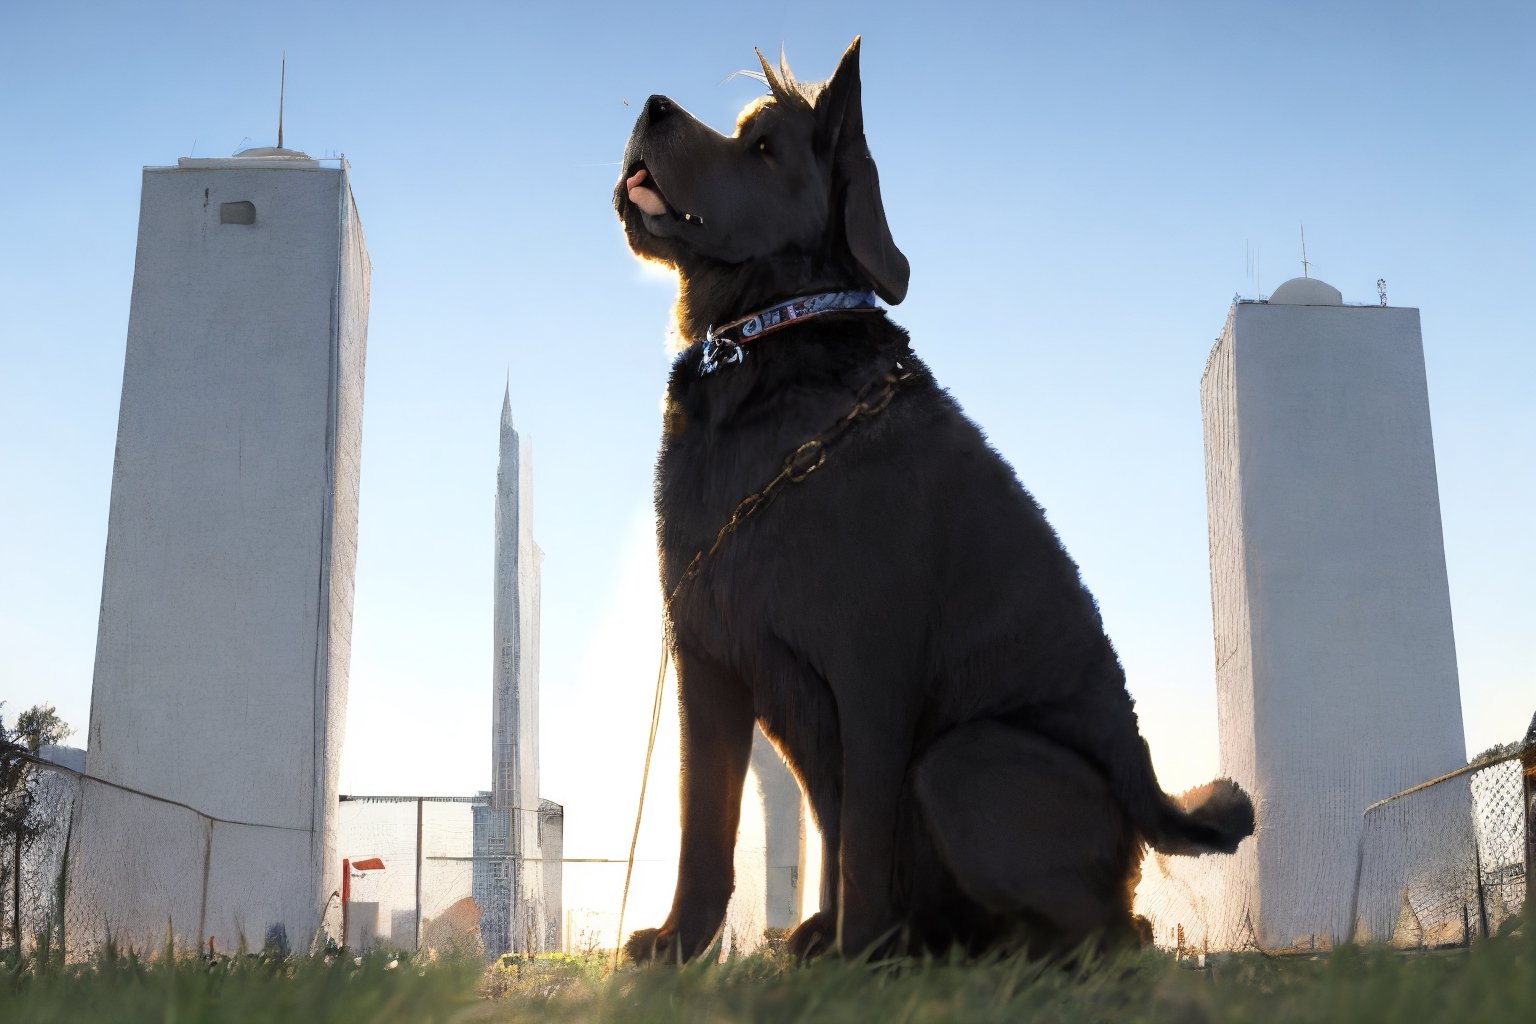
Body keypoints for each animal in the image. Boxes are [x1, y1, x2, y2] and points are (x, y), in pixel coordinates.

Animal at [611, 37, 1247, 964]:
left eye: (763, 147)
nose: (653, 105)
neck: (764, 351)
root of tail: (1148, 804)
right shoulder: (707, 654)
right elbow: (707, 825)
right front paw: (680, 944)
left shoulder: (872, 665)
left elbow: (862, 832)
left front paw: (857, 954)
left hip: (961, 760)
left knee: (1119, 928)